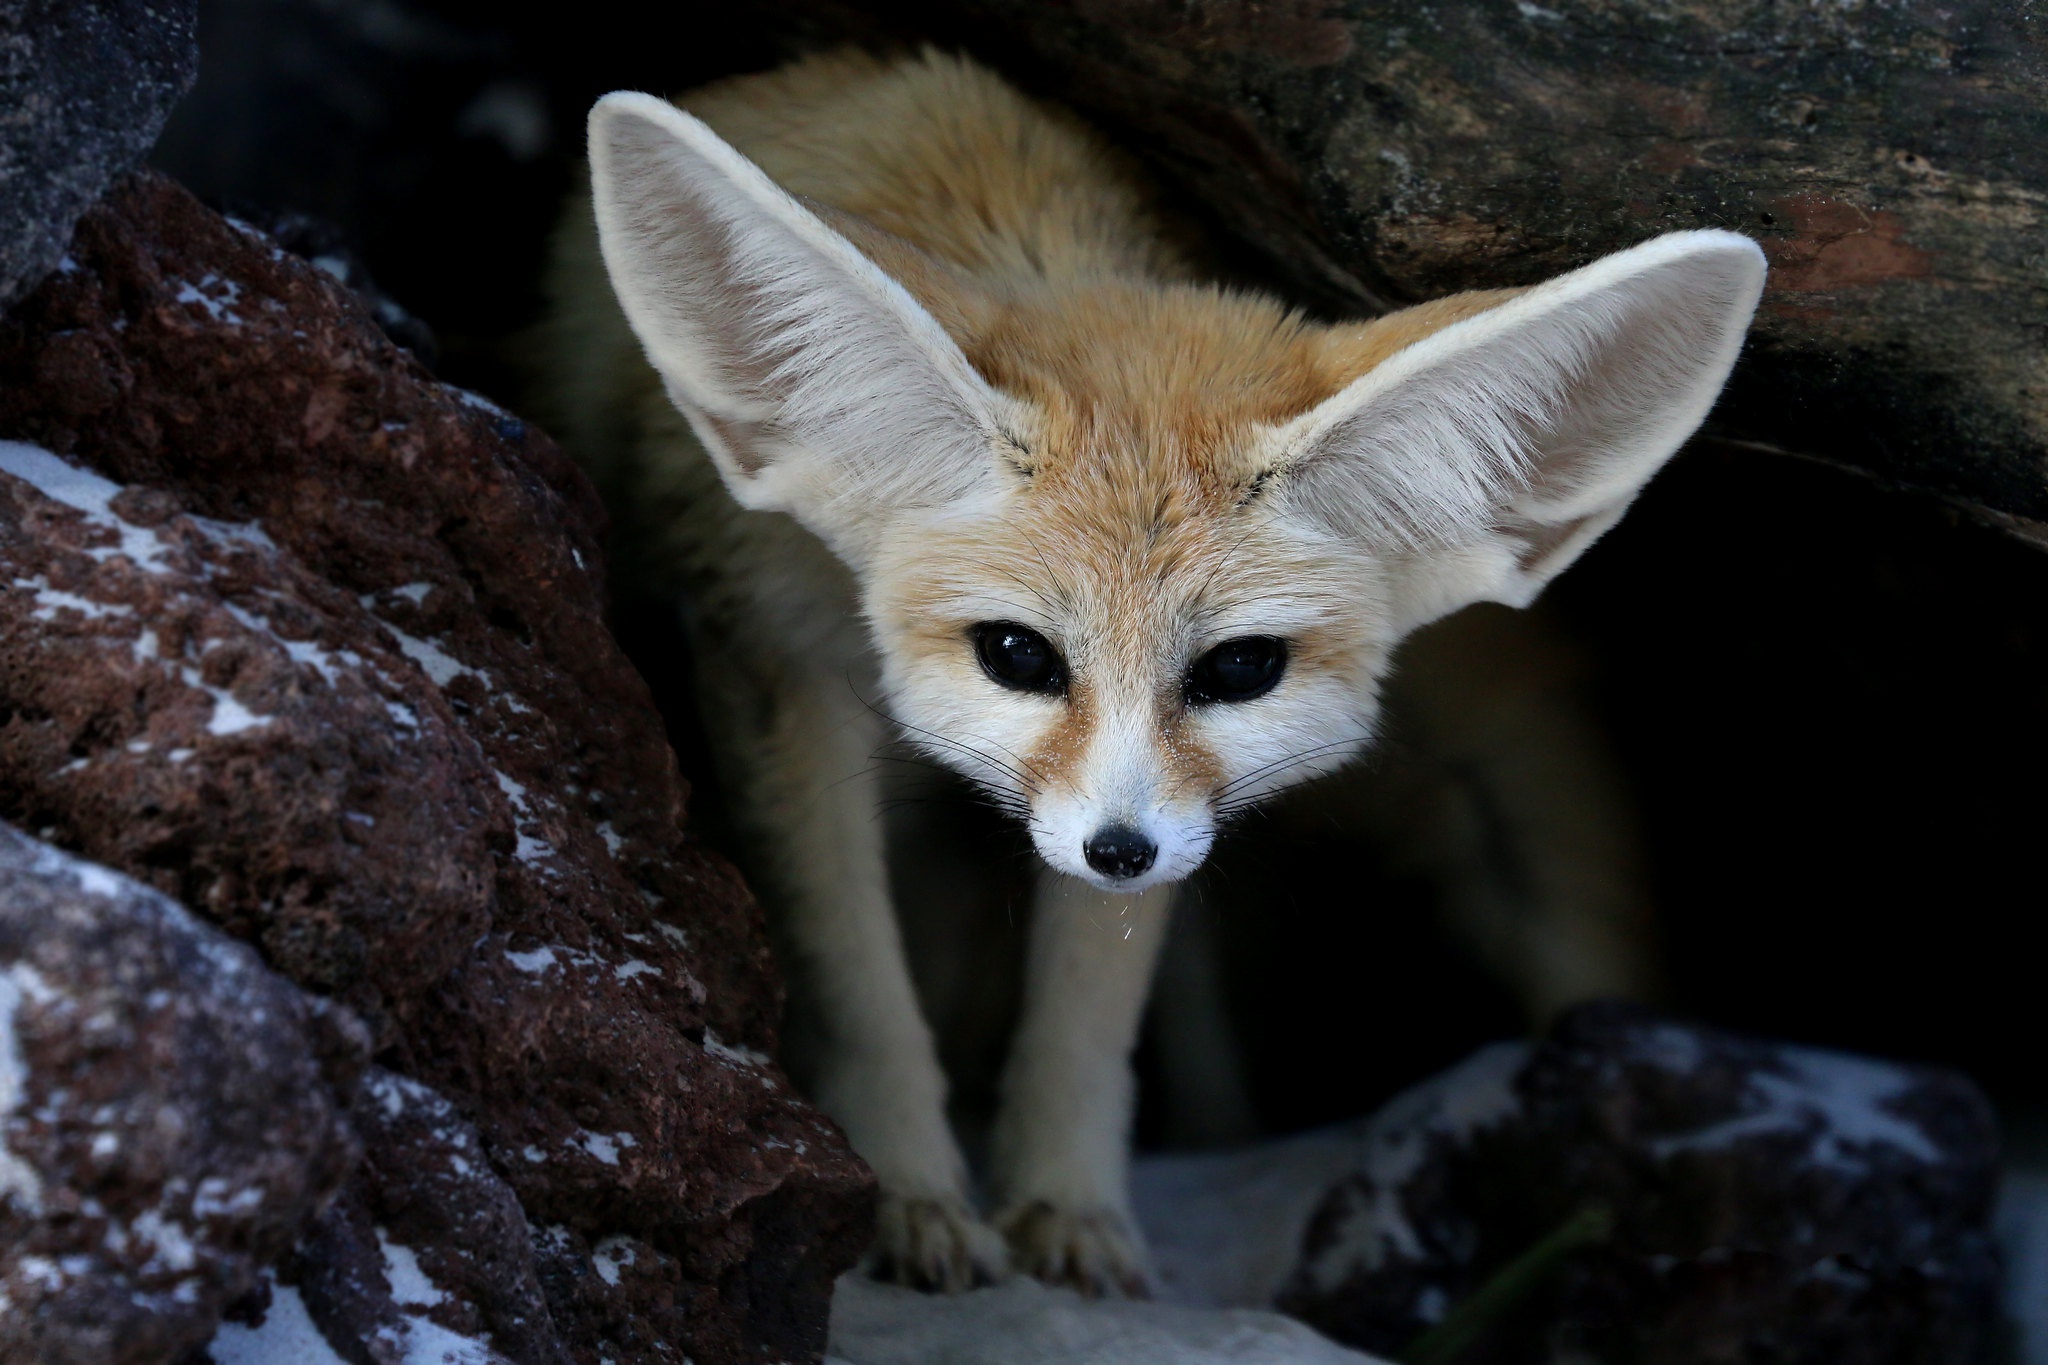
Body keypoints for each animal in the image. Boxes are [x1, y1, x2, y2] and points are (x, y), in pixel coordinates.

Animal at [536, 48, 1769, 1301]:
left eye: (1240, 668)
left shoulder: (1151, 819)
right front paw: (909, 1194)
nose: (1117, 851)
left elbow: (1089, 1009)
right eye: (1016, 654)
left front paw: (1067, 1207)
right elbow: (854, 980)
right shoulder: (771, 656)